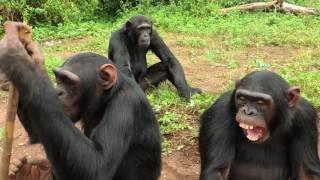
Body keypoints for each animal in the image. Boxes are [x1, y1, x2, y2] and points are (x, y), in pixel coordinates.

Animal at [1, 22, 162, 180]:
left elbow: (97, 167)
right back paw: (33, 173)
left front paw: (16, 57)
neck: (106, 98)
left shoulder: (126, 105)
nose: (58, 92)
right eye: (59, 79)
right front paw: (31, 55)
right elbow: (38, 132)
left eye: (68, 82)